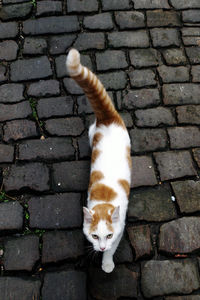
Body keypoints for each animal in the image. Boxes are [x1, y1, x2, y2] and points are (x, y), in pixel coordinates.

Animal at [66, 48, 131, 272]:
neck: (105, 200)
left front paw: (107, 262)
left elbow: (114, 248)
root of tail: (108, 118)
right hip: (91, 132)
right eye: (94, 236)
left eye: (108, 235)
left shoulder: (120, 229)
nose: (101, 247)